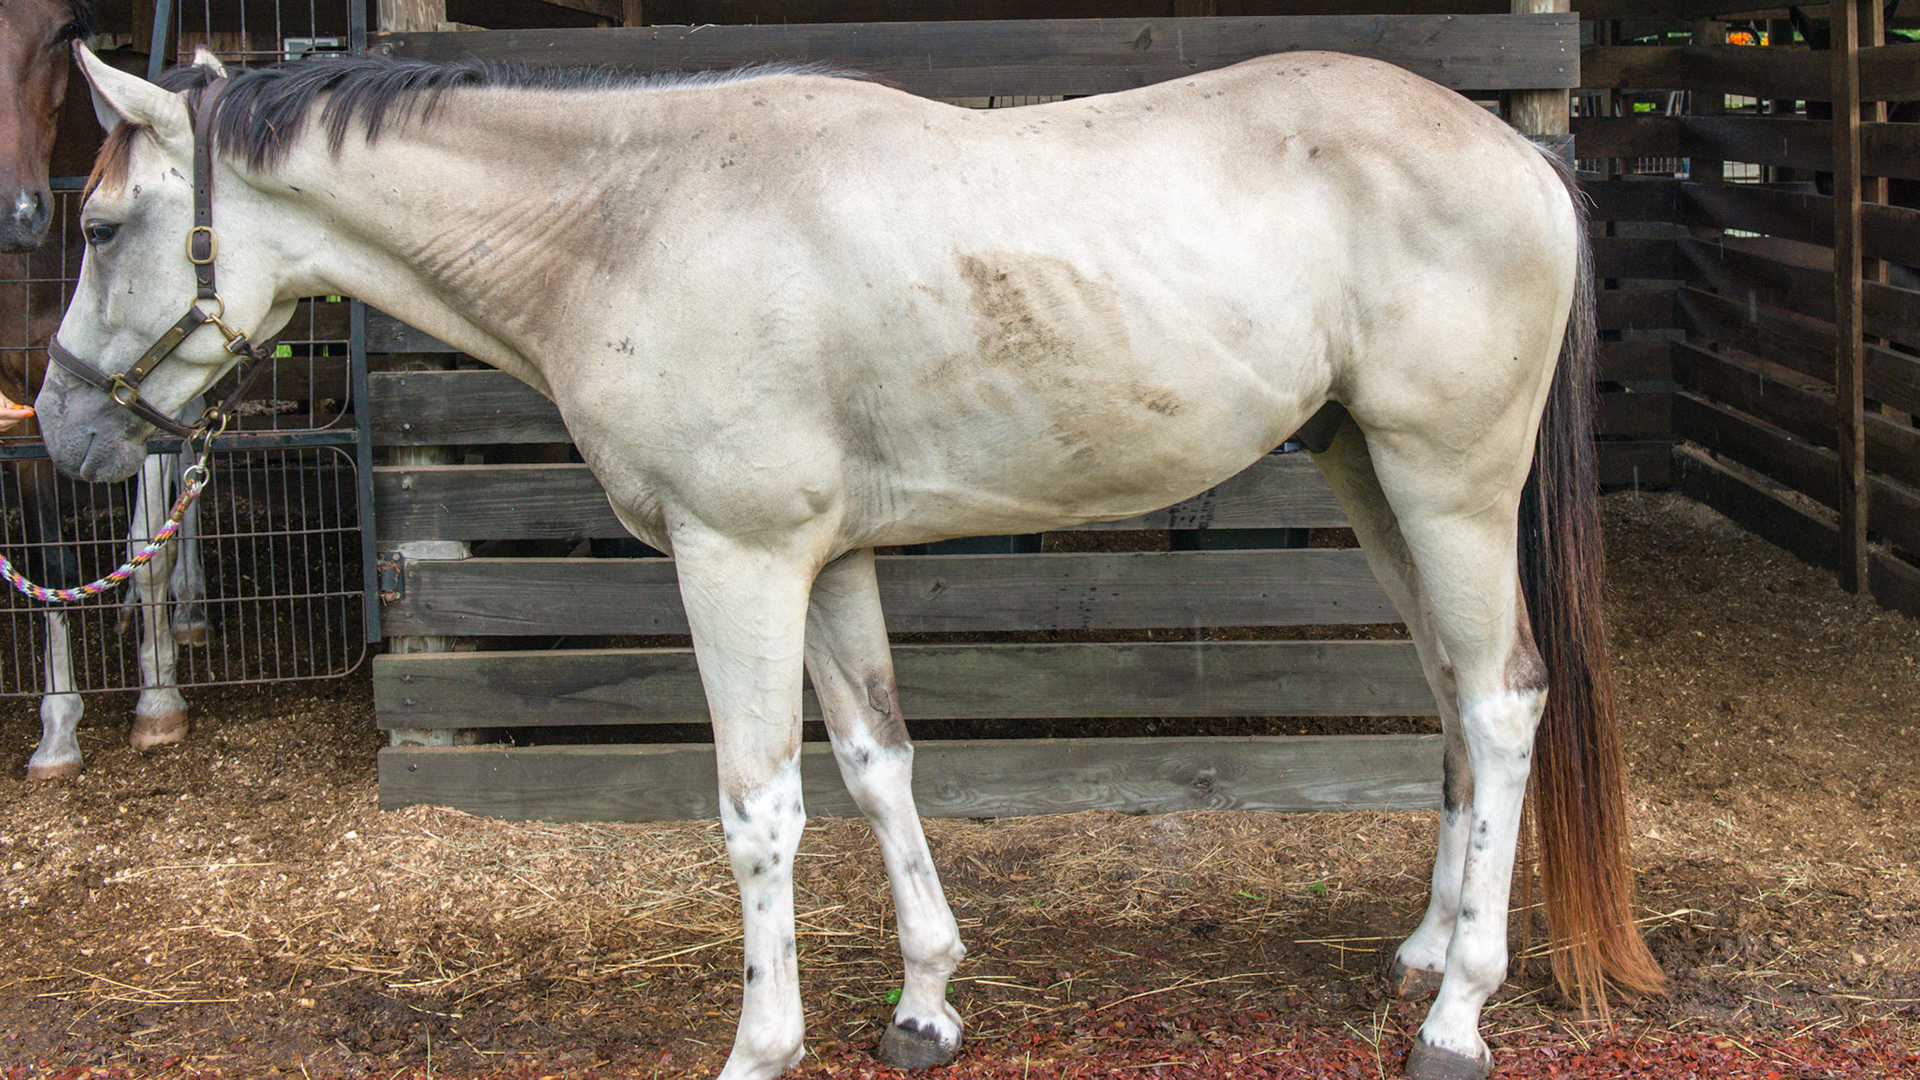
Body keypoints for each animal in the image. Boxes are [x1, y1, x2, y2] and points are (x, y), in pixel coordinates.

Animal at [0, 0, 207, 777]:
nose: (16, 214)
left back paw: (187, 609)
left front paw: (158, 700)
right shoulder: (23, 414)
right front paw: (57, 729)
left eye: (62, 31)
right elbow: (49, 564)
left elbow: (151, 540)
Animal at [41, 45, 1666, 1080]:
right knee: (1451, 694)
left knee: (1505, 702)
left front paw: (761, 1047)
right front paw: (925, 1008)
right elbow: (880, 763)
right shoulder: (825, 564)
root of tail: (1517, 150)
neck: (635, 221)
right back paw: (1424, 948)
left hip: (1451, 485)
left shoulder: (737, 560)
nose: (59, 427)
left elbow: (759, 808)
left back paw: (1458, 1018)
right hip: (1375, 479)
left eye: (105, 222)